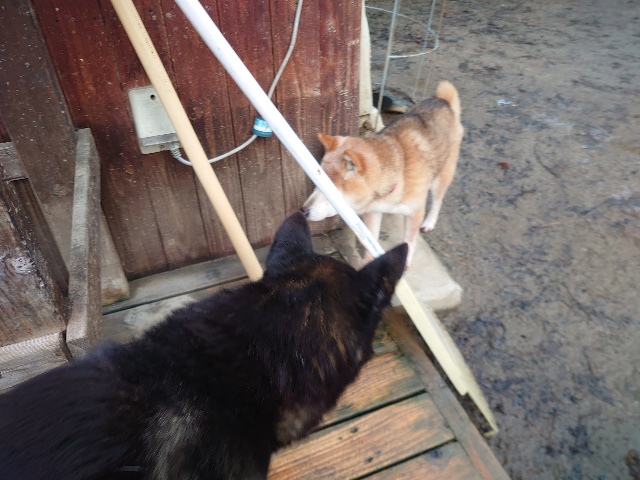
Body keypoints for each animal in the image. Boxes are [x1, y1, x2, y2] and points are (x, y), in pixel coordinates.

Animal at [302, 81, 463, 268]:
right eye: (316, 183)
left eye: (329, 190)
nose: (303, 211)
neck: (397, 177)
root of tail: (442, 100)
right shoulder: (373, 213)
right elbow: (371, 240)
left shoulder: (415, 212)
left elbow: (409, 241)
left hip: (442, 175)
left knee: (438, 201)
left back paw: (430, 222)